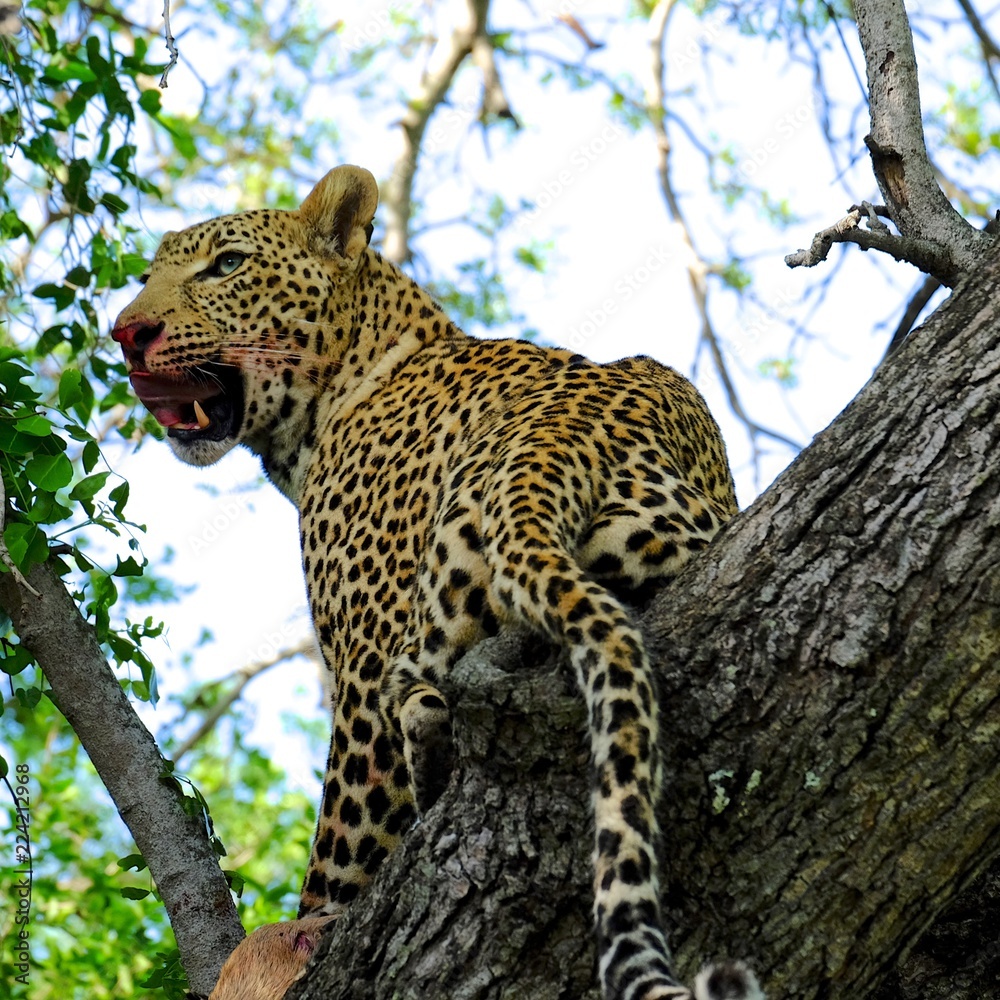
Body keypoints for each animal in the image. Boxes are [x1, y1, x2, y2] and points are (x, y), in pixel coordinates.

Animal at [113, 164, 760, 1000]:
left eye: (225, 265)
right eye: (145, 278)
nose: (128, 332)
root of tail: (558, 439)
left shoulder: (358, 670)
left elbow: (342, 851)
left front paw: (296, 937)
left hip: (415, 633)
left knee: (416, 712)